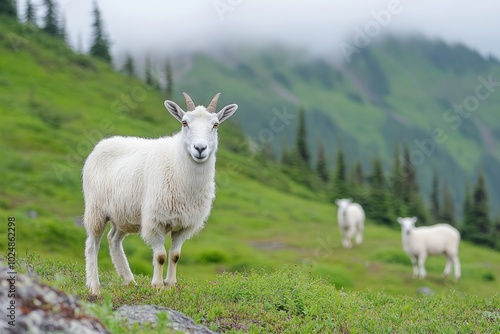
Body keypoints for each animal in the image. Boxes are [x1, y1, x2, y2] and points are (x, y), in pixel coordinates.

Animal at [82, 92, 238, 294]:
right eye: (184, 123)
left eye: (216, 124)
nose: (200, 149)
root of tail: (102, 144)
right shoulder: (155, 220)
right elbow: (161, 256)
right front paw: (157, 285)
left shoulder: (183, 225)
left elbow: (175, 255)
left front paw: (170, 284)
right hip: (96, 209)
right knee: (92, 245)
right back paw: (94, 287)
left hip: (124, 214)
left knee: (113, 240)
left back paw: (129, 280)